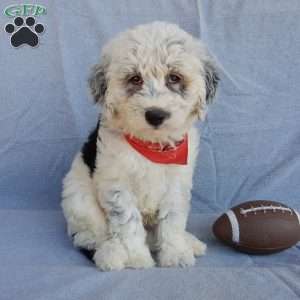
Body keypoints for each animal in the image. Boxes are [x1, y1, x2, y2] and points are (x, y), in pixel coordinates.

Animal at [62, 20, 219, 270]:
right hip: (79, 200)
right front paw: (136, 258)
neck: (152, 145)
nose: (155, 114)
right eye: (135, 79)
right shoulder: (116, 184)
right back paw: (111, 255)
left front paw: (175, 253)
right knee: (91, 237)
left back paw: (189, 242)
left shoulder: (177, 182)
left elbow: (172, 220)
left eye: (174, 78)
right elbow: (128, 222)